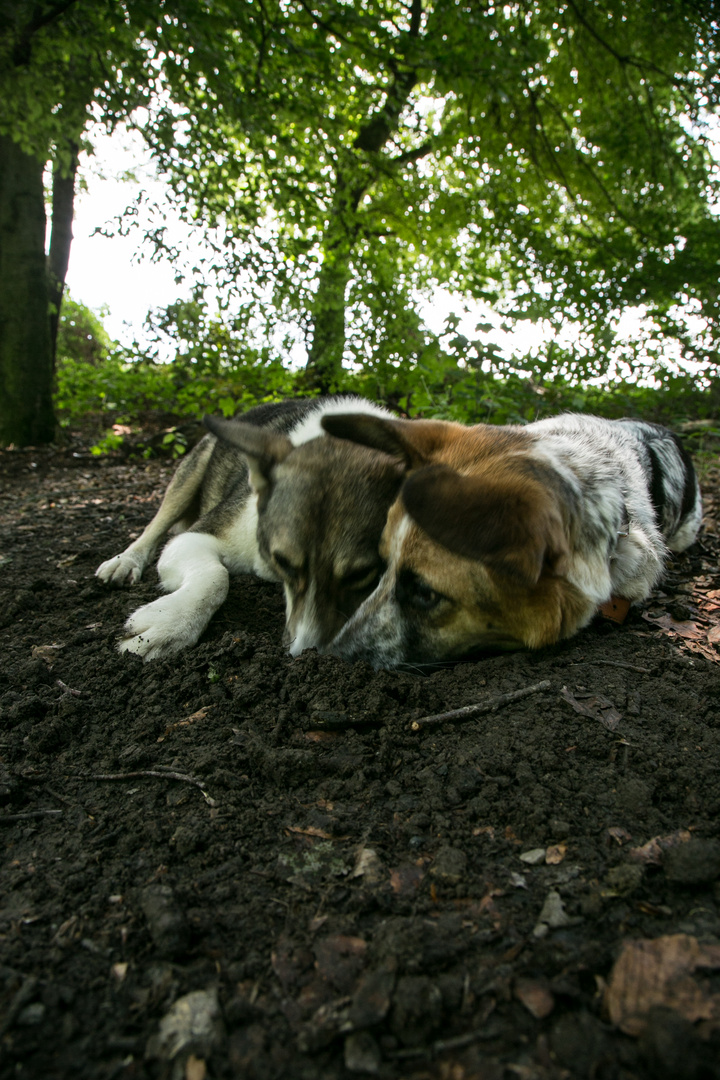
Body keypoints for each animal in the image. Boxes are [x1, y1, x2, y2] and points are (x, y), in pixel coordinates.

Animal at [95, 399, 403, 656]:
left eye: (361, 574)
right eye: (283, 561)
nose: (305, 653)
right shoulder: (193, 537)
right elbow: (216, 577)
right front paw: (168, 624)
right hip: (192, 471)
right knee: (156, 525)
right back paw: (125, 560)